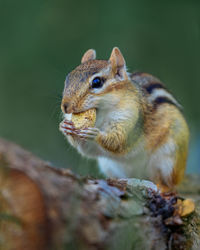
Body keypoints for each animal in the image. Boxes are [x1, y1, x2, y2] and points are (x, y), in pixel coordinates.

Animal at [59, 47, 189, 190]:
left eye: (97, 82)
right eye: (68, 78)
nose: (65, 107)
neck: (102, 114)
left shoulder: (131, 118)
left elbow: (119, 141)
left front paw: (95, 134)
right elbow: (86, 149)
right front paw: (65, 126)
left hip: (171, 155)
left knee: (169, 183)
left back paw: (162, 187)